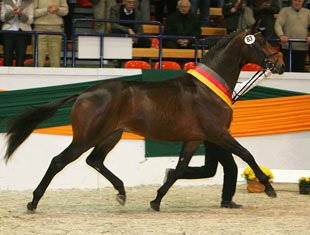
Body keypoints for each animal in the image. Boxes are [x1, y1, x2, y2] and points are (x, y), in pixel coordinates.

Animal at [3, 28, 284, 211]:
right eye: (262, 42)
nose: (279, 64)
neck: (207, 89)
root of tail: (84, 92)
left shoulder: (194, 138)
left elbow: (179, 169)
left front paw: (156, 201)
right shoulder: (218, 133)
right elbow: (247, 154)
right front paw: (269, 189)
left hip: (111, 135)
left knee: (95, 160)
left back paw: (121, 192)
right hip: (87, 137)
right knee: (59, 161)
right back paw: (33, 201)